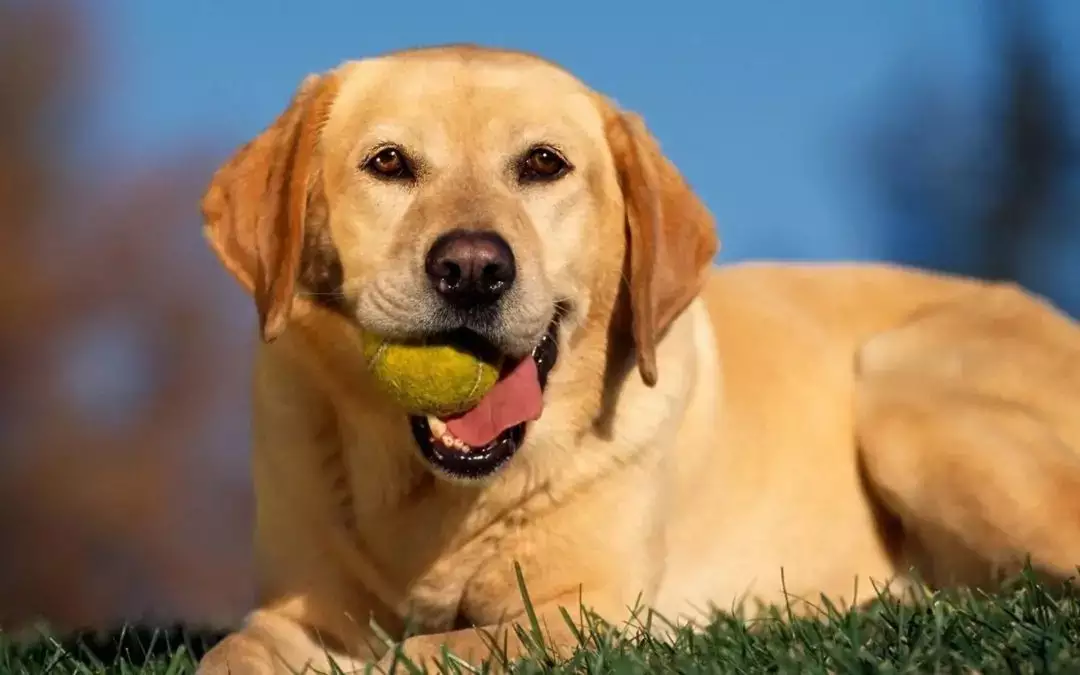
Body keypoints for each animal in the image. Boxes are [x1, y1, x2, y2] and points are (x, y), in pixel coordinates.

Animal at [194, 44, 1080, 669]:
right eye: (388, 163)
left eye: (543, 163)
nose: (473, 268)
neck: (437, 498)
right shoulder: (295, 609)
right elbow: (231, 654)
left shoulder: (582, 609)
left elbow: (432, 651)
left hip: (901, 390)